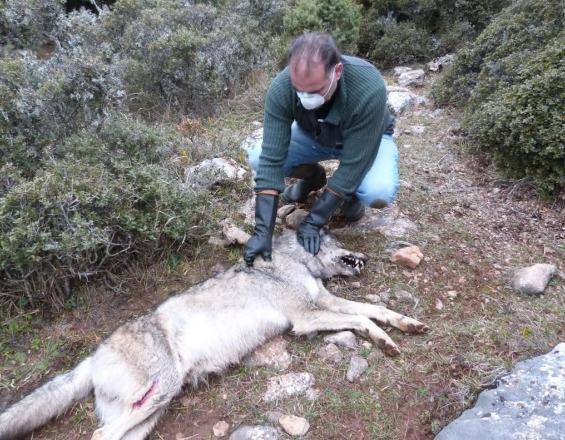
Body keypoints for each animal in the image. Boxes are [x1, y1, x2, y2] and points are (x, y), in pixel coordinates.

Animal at [0, 230, 426, 440]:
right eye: (339, 242)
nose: (366, 258)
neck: (295, 260)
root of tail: (90, 358)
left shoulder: (325, 302)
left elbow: (375, 312)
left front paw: (405, 326)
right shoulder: (305, 317)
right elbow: (363, 321)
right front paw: (386, 340)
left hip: (152, 413)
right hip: (161, 390)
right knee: (99, 434)